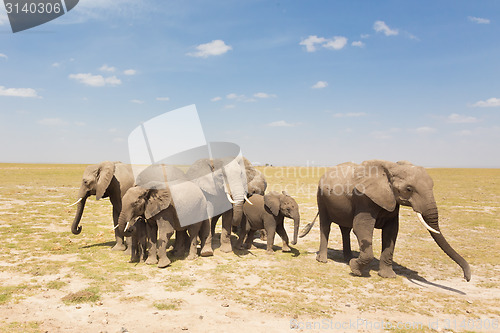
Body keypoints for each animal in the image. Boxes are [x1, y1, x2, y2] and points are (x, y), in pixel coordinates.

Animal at [298, 159, 470, 280]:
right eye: (409, 189)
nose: (467, 277)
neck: (392, 168)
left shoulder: (392, 201)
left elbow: (391, 233)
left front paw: (387, 276)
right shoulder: (364, 198)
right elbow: (361, 228)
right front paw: (355, 269)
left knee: (345, 229)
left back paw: (347, 257)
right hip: (321, 197)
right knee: (326, 225)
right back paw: (323, 260)